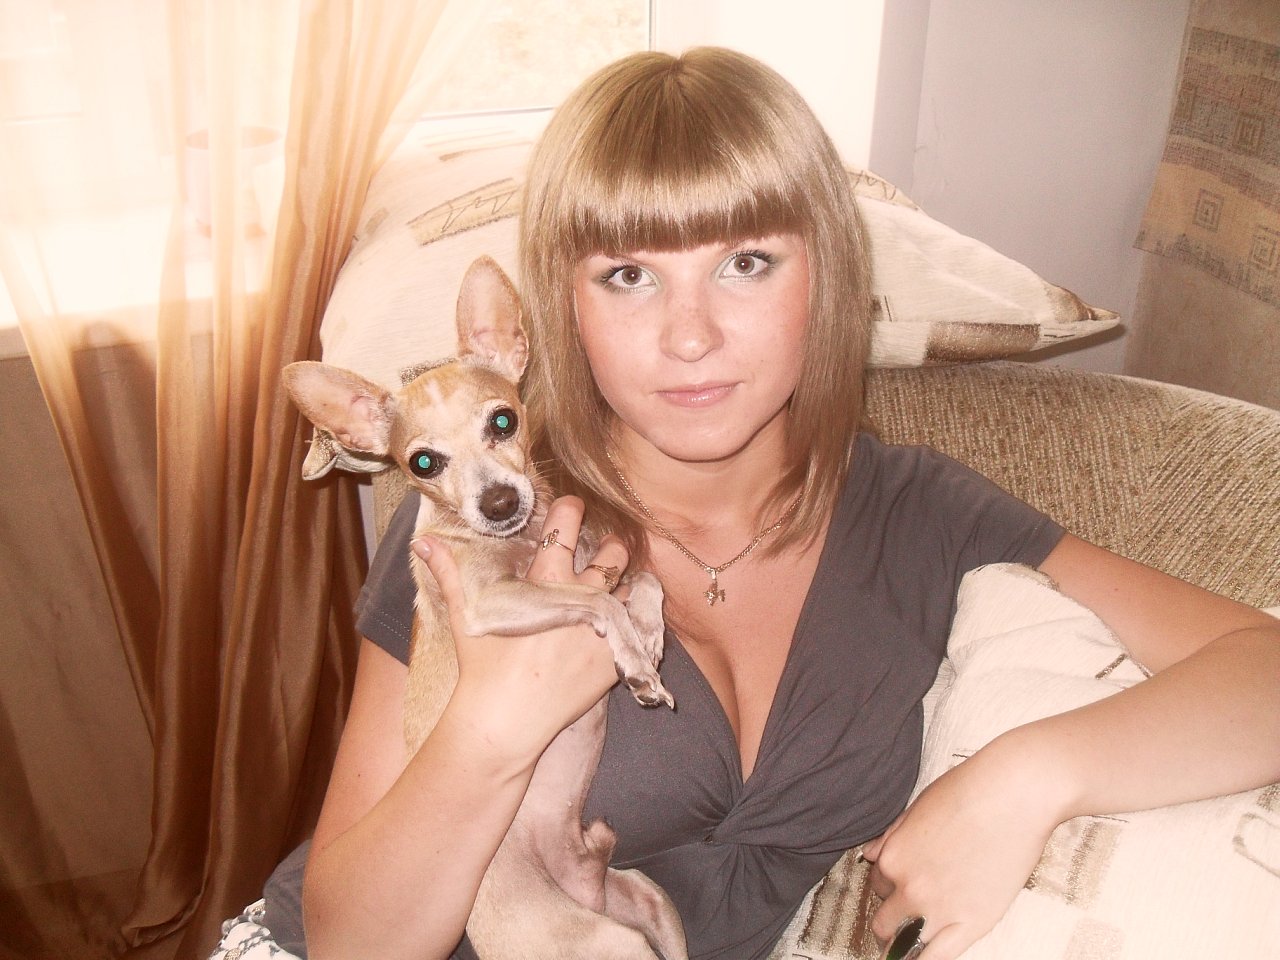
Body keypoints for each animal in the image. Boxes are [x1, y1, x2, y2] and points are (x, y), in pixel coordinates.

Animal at [283, 256, 688, 960]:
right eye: (422, 462)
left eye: (503, 422)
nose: (499, 503)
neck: (520, 544)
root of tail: (580, 881)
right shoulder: (489, 604)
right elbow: (594, 600)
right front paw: (636, 661)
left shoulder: (595, 563)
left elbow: (641, 582)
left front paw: (650, 635)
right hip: (607, 944)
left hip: (651, 904)